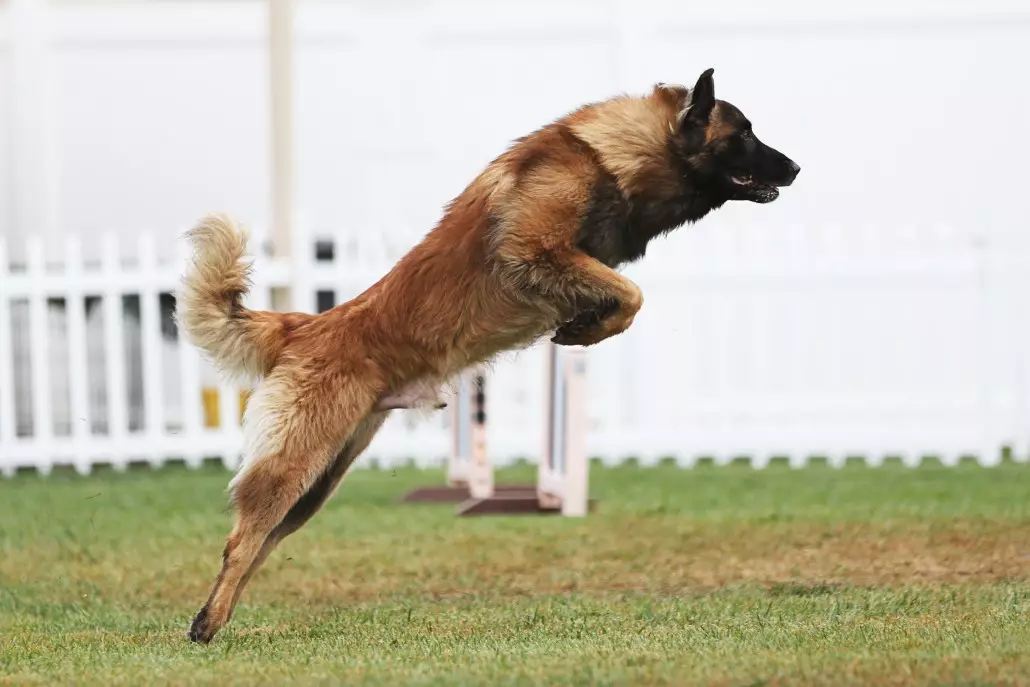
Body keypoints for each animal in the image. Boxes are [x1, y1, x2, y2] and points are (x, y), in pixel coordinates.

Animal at [181, 66, 799, 642]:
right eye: (744, 133)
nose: (795, 169)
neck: (611, 153)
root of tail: (303, 326)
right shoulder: (533, 249)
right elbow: (632, 295)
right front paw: (584, 330)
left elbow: (624, 292)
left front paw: (586, 325)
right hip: (296, 463)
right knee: (242, 540)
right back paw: (206, 625)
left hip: (318, 479)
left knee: (260, 541)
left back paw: (219, 617)